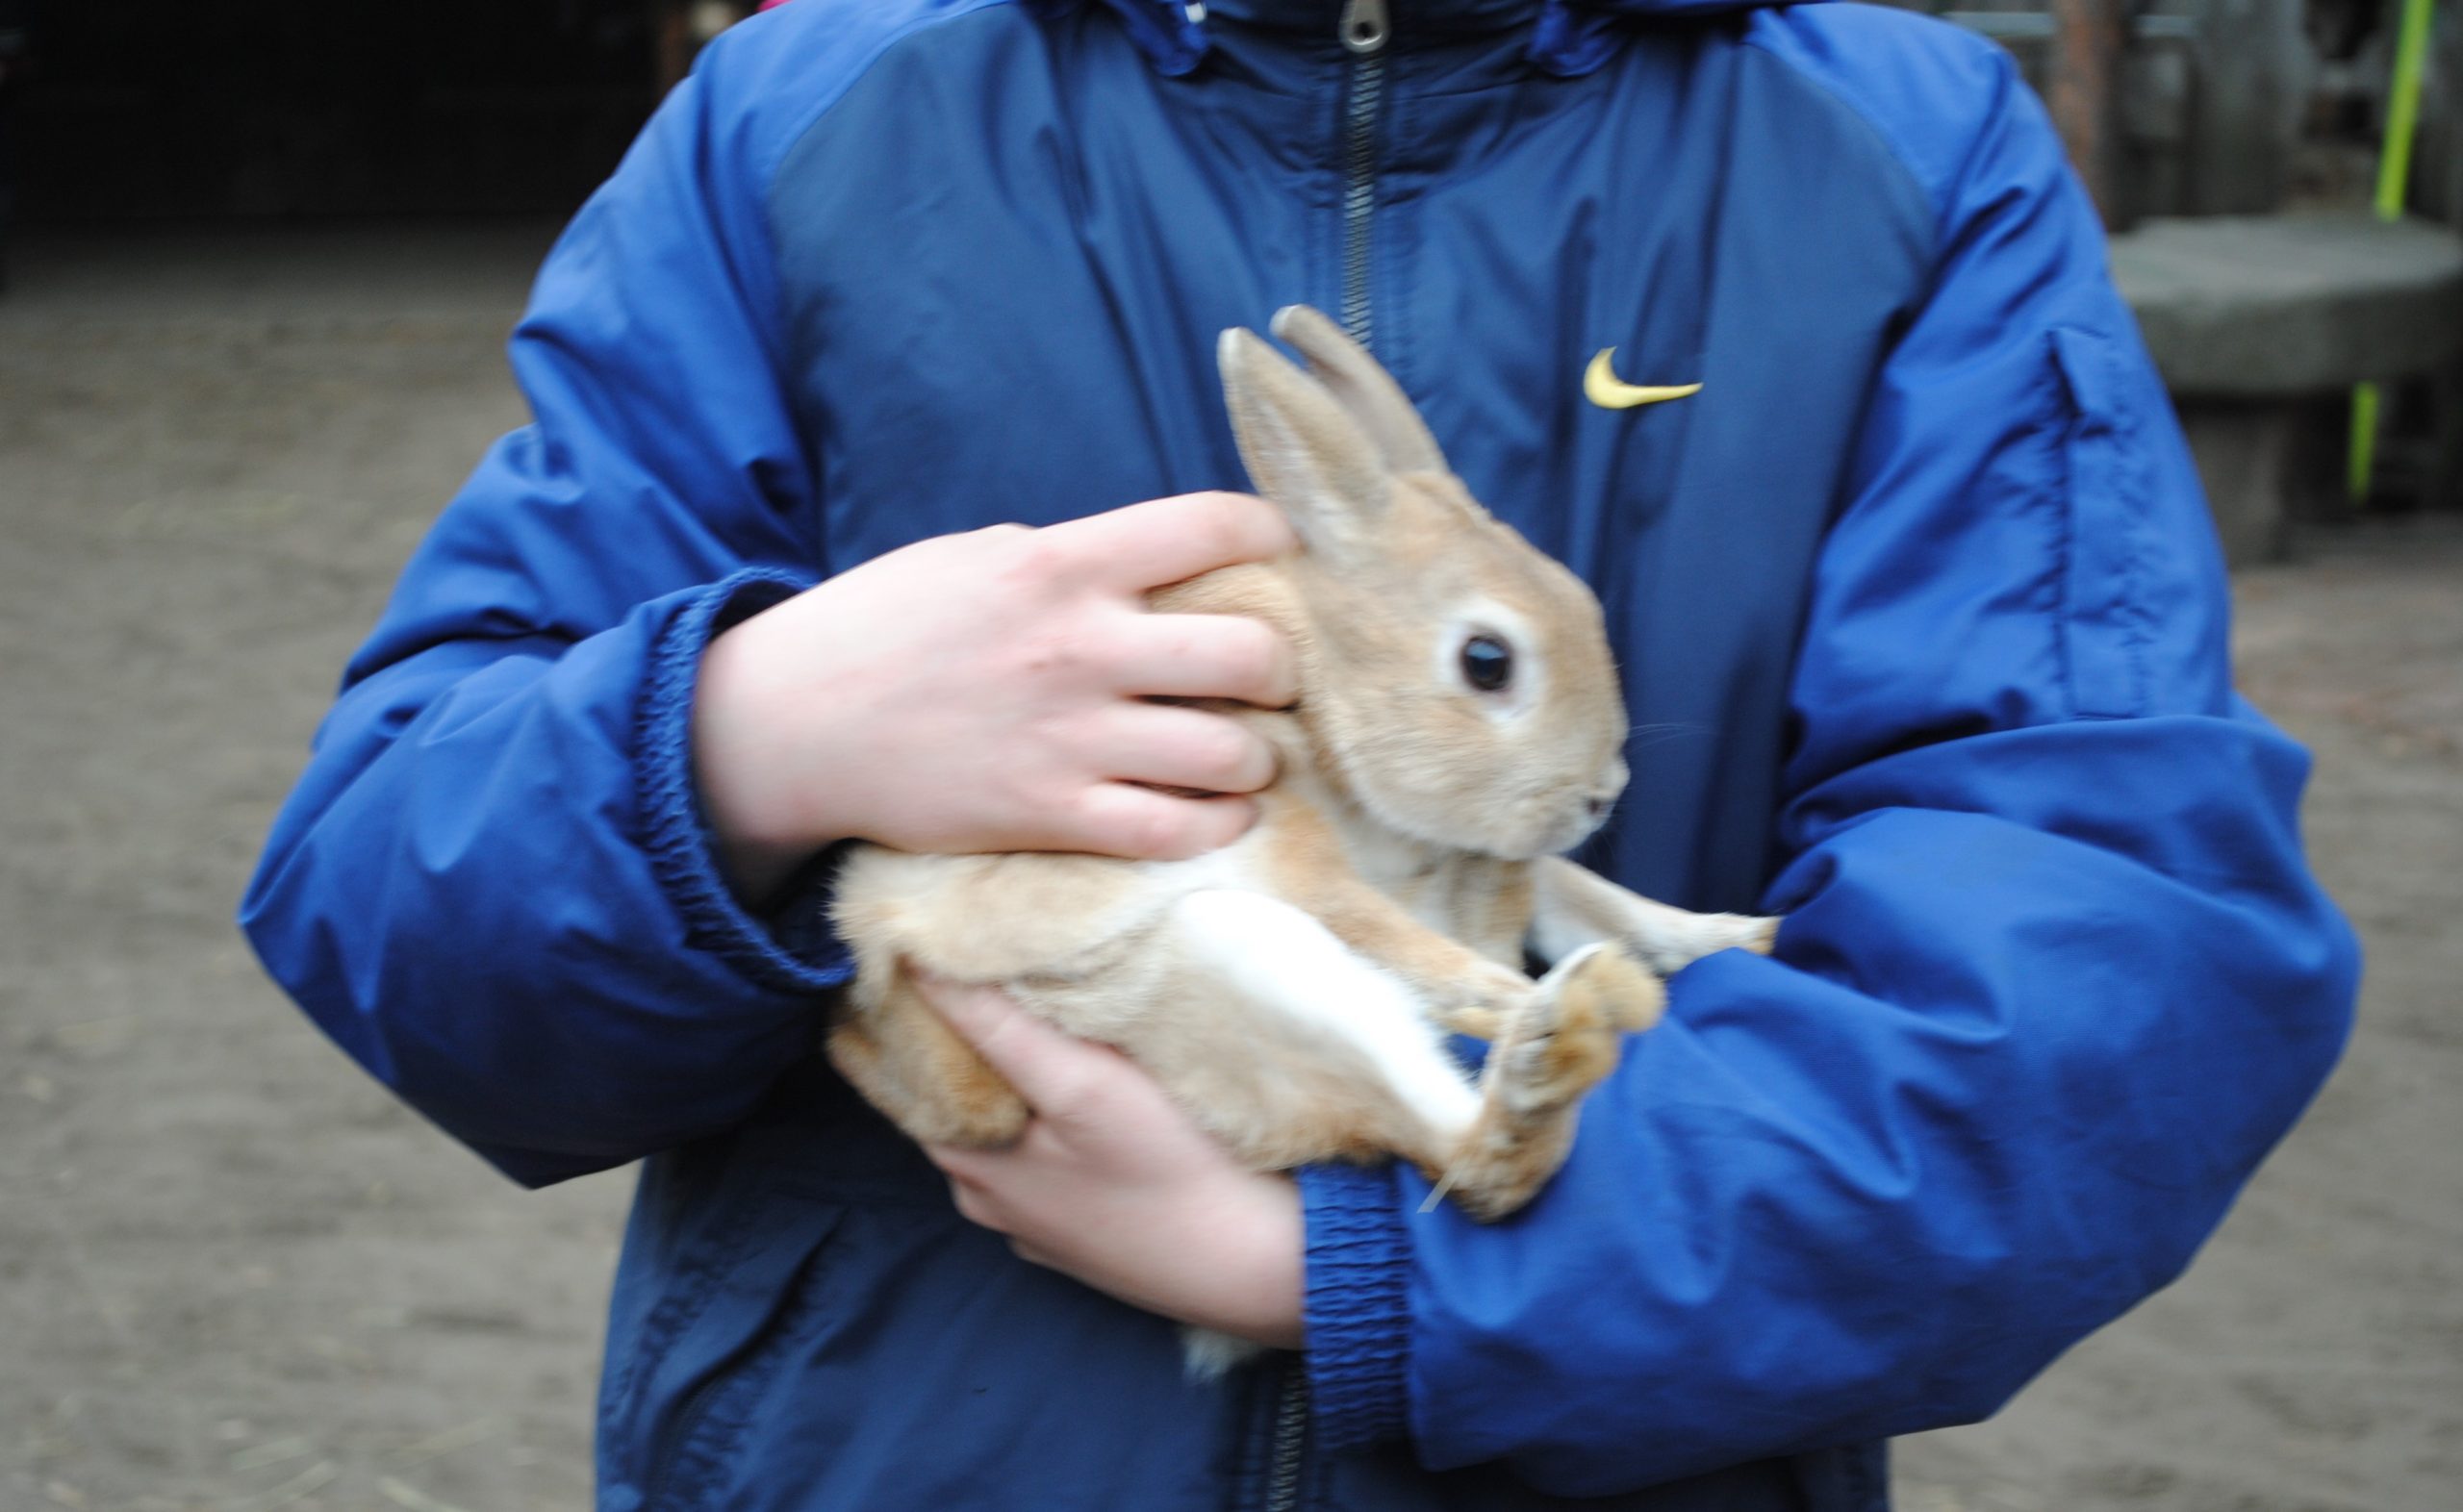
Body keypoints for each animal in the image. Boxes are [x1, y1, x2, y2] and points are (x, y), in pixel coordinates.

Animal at [827, 308, 1773, 1378]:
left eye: (1580, 600)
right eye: (1487, 660)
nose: (1598, 793)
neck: (1322, 686)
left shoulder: (1509, 865)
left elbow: (1586, 898)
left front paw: (1730, 935)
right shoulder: (1266, 826)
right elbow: (1383, 924)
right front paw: (1514, 992)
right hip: (1242, 965)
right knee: (1473, 1161)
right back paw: (1559, 1030)